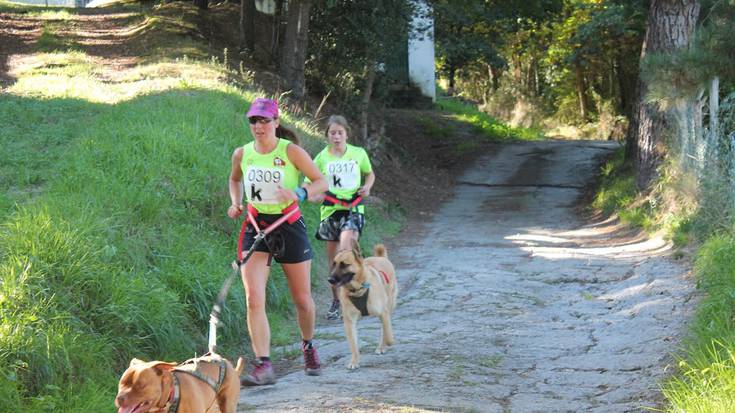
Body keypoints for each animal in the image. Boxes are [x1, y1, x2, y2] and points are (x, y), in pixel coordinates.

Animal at [328, 240, 396, 368]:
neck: (357, 290)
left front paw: (389, 342)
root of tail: (381, 258)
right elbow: (353, 345)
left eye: (344, 264)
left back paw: (381, 346)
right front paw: (354, 361)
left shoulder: (383, 313)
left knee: (383, 329)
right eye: (334, 264)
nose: (330, 280)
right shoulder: (349, 322)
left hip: (388, 305)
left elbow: (388, 334)